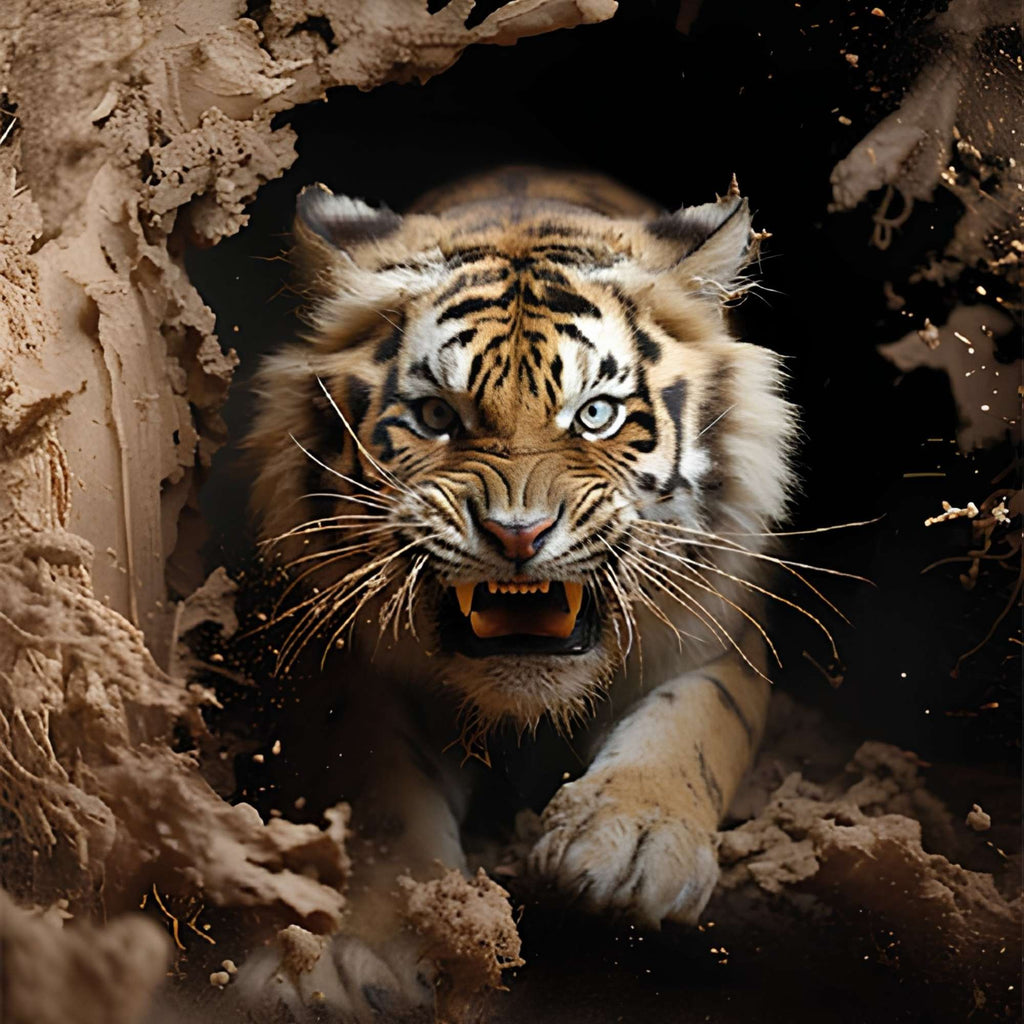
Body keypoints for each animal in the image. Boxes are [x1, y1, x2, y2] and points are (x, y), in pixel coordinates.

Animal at [242, 166, 796, 1020]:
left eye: (595, 415)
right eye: (437, 415)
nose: (517, 534)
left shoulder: (723, 638)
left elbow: (694, 724)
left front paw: (630, 847)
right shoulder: (347, 675)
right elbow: (375, 796)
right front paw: (355, 953)